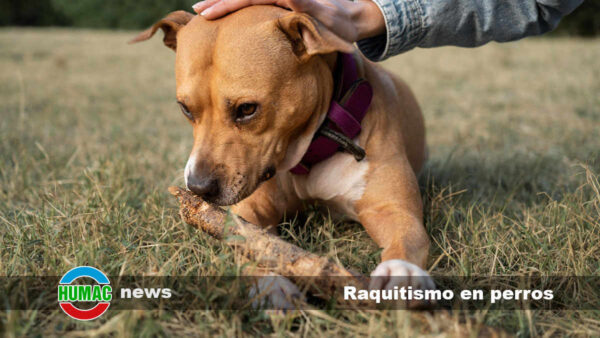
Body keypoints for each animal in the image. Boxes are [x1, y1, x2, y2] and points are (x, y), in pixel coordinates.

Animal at [132, 5, 432, 302]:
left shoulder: (392, 208)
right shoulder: (250, 210)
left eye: (247, 109)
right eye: (185, 109)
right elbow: (249, 242)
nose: (198, 188)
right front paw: (271, 286)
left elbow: (407, 236)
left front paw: (402, 272)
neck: (308, 155)